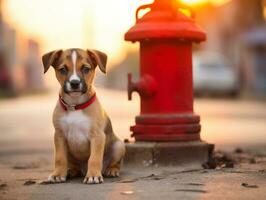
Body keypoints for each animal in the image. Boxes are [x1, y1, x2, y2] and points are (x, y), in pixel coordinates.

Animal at [42, 48, 125, 184]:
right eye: (63, 69)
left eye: (86, 69)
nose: (75, 83)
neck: (75, 106)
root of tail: (82, 170)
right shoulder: (59, 136)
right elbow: (59, 158)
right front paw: (58, 174)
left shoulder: (97, 136)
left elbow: (94, 158)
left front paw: (93, 175)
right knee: (73, 166)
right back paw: (70, 171)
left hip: (119, 146)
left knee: (114, 163)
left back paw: (111, 170)